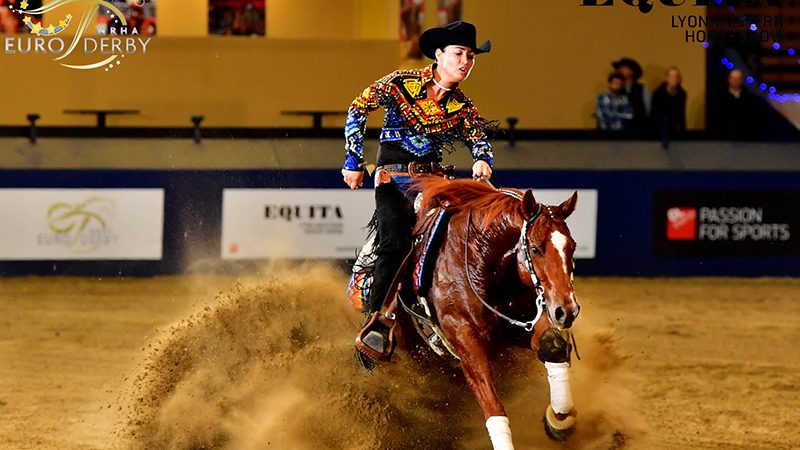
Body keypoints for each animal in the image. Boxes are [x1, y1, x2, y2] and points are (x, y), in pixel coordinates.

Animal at [350, 178, 580, 448]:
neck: (481, 263)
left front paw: (560, 418)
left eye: (573, 247)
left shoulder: (516, 329)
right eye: (535, 249)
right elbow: (493, 407)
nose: (567, 310)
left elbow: (552, 346)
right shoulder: (466, 341)